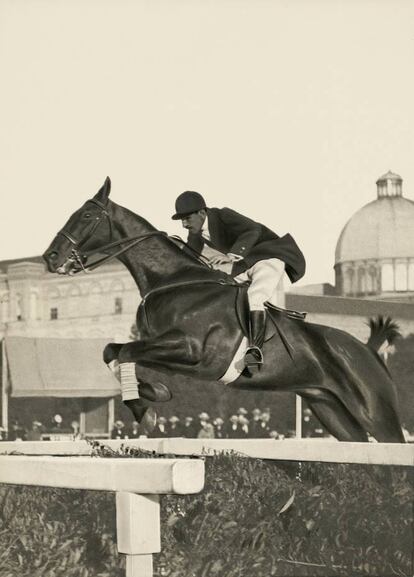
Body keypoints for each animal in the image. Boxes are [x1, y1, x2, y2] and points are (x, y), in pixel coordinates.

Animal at [43, 176, 406, 440]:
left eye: (86, 216)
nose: (51, 258)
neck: (174, 280)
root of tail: (369, 350)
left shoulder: (192, 351)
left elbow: (124, 350)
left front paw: (147, 410)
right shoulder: (169, 351)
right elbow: (113, 351)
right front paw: (152, 397)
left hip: (376, 413)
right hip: (331, 412)